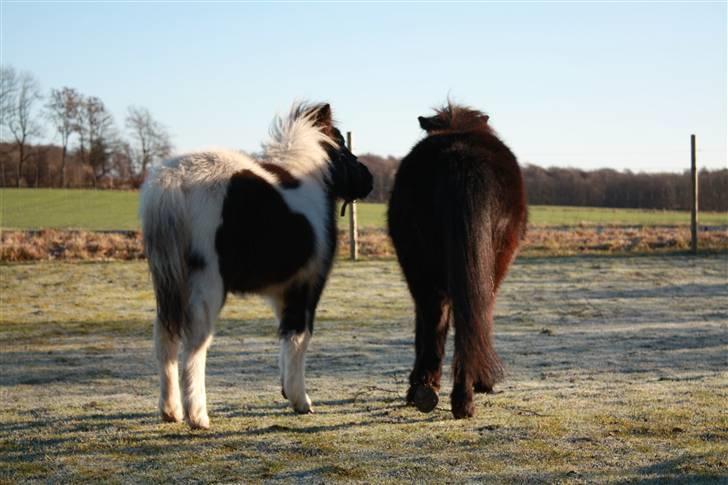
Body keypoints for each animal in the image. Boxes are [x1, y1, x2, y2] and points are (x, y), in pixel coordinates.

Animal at [140, 102, 372, 428]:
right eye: (341, 145)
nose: (368, 179)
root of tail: (173, 182)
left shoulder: (281, 291)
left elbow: (284, 337)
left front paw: (286, 390)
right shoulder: (307, 285)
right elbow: (299, 337)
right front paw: (301, 401)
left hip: (170, 285)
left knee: (165, 341)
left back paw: (170, 411)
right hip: (206, 287)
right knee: (194, 347)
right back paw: (198, 416)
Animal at [390, 103, 528, 420]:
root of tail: (461, 158)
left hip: (423, 271)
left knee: (435, 316)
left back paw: (428, 391)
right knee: (469, 314)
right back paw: (461, 396)